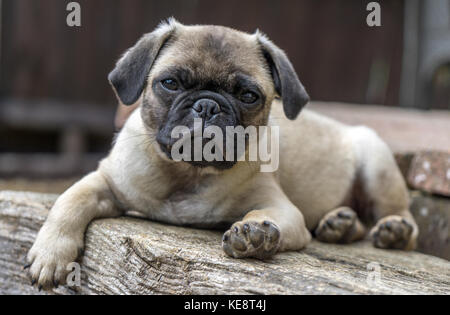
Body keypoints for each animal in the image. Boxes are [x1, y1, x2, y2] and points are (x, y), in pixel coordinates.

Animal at [25, 19, 418, 290]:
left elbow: (263, 216)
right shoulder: (107, 181)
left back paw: (393, 232)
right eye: (170, 83)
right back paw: (340, 224)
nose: (207, 105)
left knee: (400, 219)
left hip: (377, 164)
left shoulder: (281, 208)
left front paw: (254, 234)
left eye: (248, 96)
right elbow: (70, 200)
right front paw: (51, 254)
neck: (188, 173)